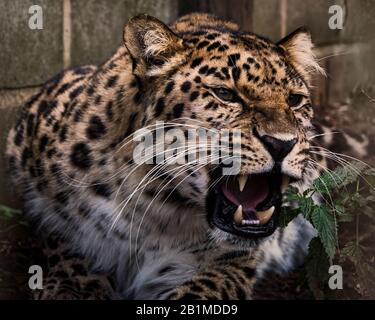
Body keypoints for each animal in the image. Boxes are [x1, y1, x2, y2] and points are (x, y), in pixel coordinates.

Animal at [5, 11, 370, 298]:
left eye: (295, 100)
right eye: (225, 94)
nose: (282, 143)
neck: (150, 216)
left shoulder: (225, 265)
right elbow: (69, 254)